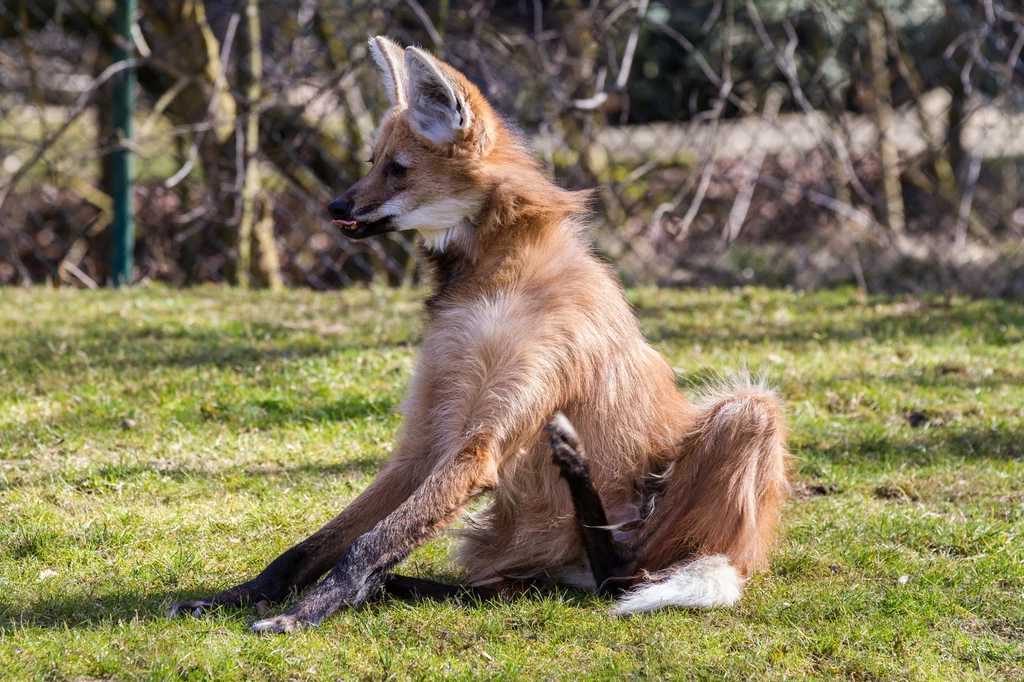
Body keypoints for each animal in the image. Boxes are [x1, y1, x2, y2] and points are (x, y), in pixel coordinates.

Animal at [169, 37, 790, 630]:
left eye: (397, 168)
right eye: (371, 160)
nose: (335, 205)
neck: (489, 278)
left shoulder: (478, 446)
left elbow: (367, 542)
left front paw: (302, 614)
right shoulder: (424, 443)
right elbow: (318, 543)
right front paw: (233, 597)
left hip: (745, 414)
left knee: (622, 575)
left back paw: (576, 474)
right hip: (511, 553)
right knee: (514, 586)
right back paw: (400, 585)